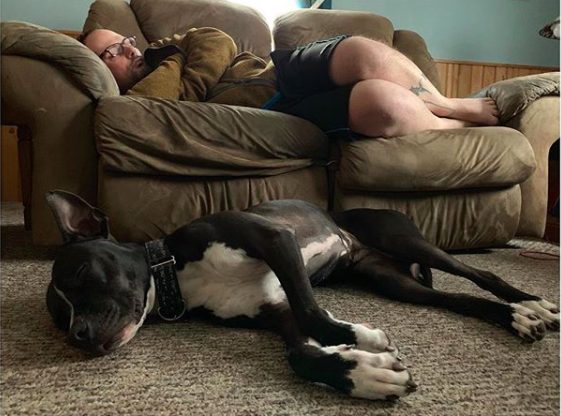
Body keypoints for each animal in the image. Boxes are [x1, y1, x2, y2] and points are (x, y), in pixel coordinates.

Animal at [45, 190, 559, 401]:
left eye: (85, 272)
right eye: (60, 318)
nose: (79, 335)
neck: (175, 269)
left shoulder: (276, 240)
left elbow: (313, 312)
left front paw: (362, 338)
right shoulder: (276, 312)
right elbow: (300, 354)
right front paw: (363, 375)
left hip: (407, 241)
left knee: (480, 273)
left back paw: (530, 303)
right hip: (397, 284)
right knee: (459, 301)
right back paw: (515, 318)